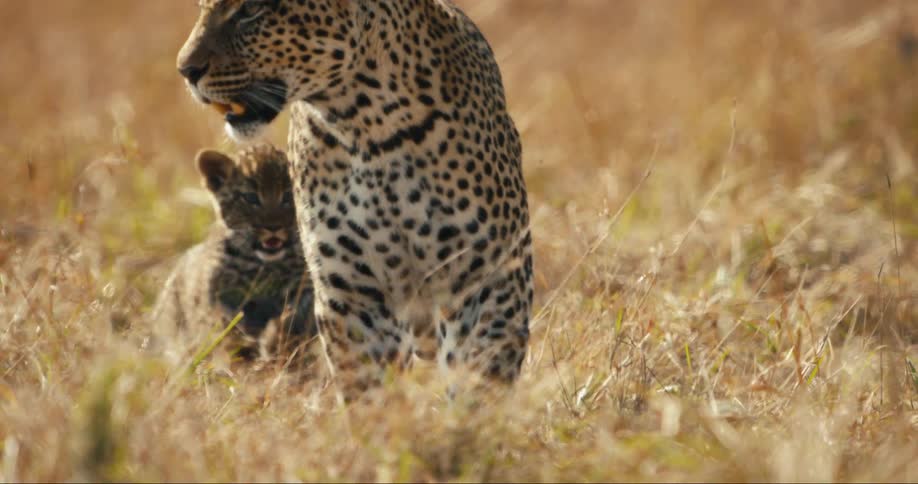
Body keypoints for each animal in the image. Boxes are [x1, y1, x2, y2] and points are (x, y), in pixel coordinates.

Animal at [151, 143, 316, 361]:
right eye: (251, 198)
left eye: (289, 195)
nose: (273, 226)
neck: (264, 265)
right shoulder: (216, 294)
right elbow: (223, 322)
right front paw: (243, 343)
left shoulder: (304, 286)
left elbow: (298, 313)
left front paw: (274, 339)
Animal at [177, 0, 533, 393]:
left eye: (251, 11)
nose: (186, 70)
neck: (368, 128)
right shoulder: (352, 293)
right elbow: (368, 386)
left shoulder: (488, 275)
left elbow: (480, 373)